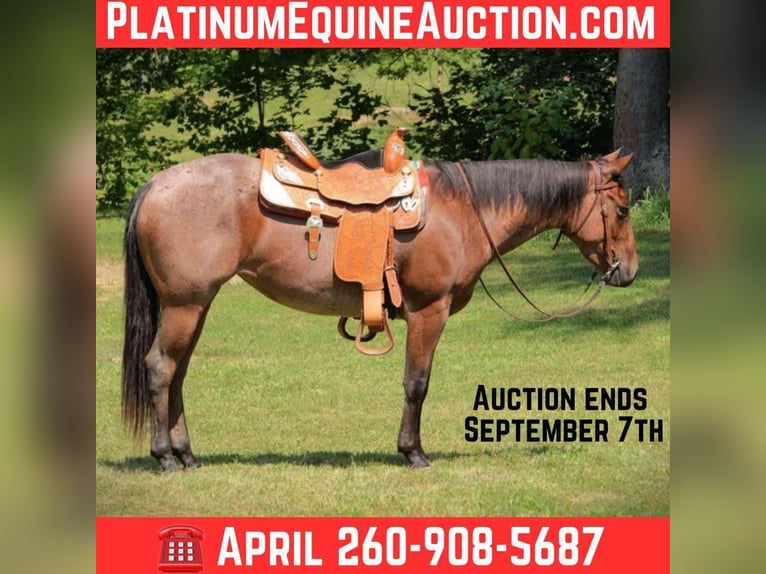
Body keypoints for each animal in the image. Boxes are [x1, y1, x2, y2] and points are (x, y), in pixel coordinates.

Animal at [121, 148, 638, 472]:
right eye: (623, 209)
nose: (629, 270)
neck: (463, 211)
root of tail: (155, 185)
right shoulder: (430, 311)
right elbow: (417, 383)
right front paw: (413, 452)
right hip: (185, 305)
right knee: (160, 368)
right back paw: (164, 456)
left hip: (194, 306)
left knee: (178, 373)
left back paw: (187, 455)